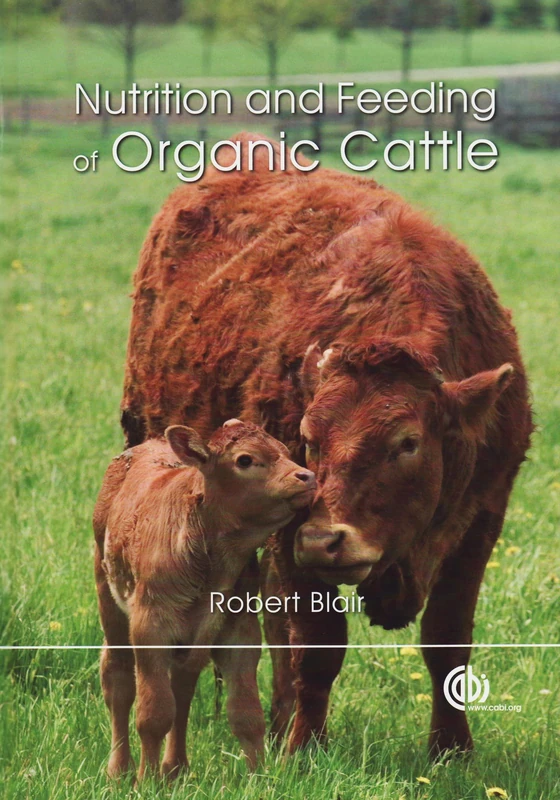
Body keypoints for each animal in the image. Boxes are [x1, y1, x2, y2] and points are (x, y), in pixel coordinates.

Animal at [93, 418, 316, 779]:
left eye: (283, 450)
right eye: (244, 460)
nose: (307, 476)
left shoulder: (239, 630)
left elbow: (246, 713)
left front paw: (259, 778)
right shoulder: (149, 627)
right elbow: (153, 714)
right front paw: (147, 779)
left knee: (183, 686)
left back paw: (175, 768)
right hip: (109, 599)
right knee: (118, 678)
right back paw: (120, 771)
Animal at [120, 133, 533, 758]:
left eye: (408, 442)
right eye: (310, 439)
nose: (325, 540)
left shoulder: (481, 521)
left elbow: (447, 642)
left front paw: (452, 748)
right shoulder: (291, 528)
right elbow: (316, 646)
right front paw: (303, 749)